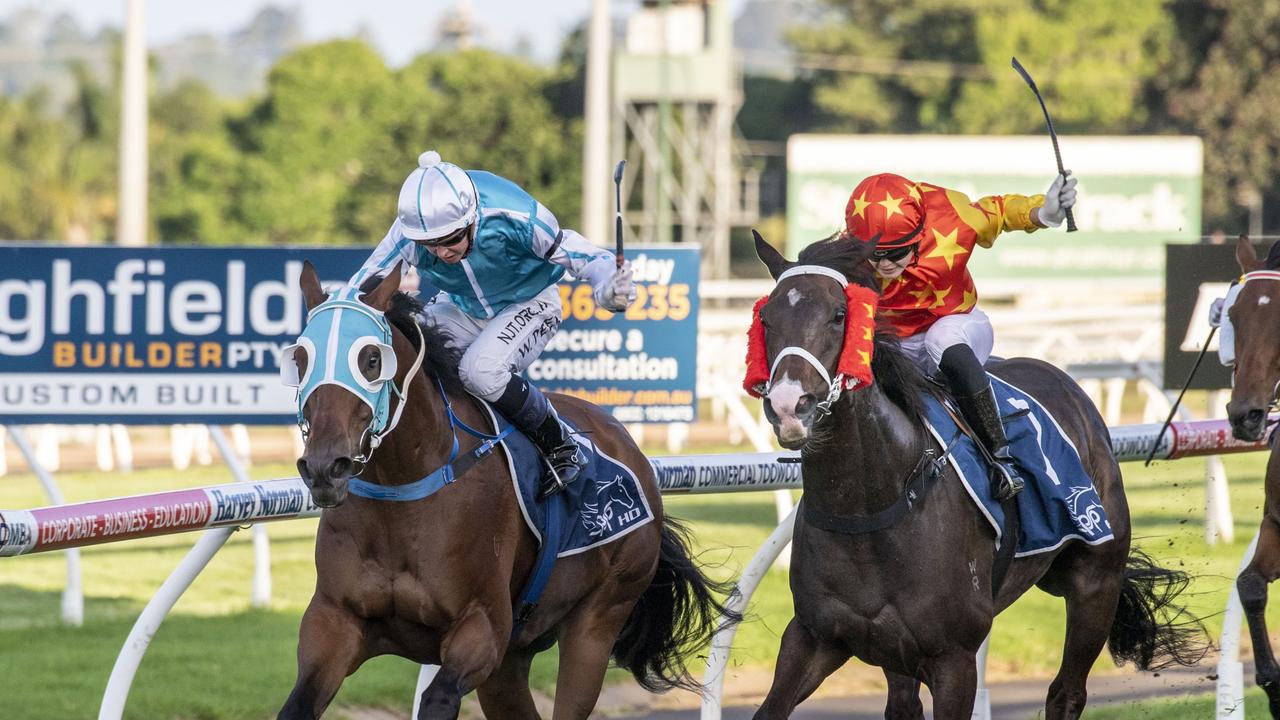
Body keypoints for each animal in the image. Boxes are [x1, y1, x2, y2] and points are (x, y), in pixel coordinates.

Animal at [276, 258, 732, 717]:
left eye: (371, 359)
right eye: (300, 358)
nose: (324, 467)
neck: (402, 490)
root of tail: (630, 448)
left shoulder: (482, 629)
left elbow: (438, 697)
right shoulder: (334, 622)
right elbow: (296, 704)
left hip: (599, 619)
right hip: (514, 657)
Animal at [747, 233, 1203, 717]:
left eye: (839, 315)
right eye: (766, 317)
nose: (788, 405)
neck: (870, 508)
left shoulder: (954, 657)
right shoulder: (815, 635)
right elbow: (772, 706)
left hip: (1096, 581)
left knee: (1067, 692)